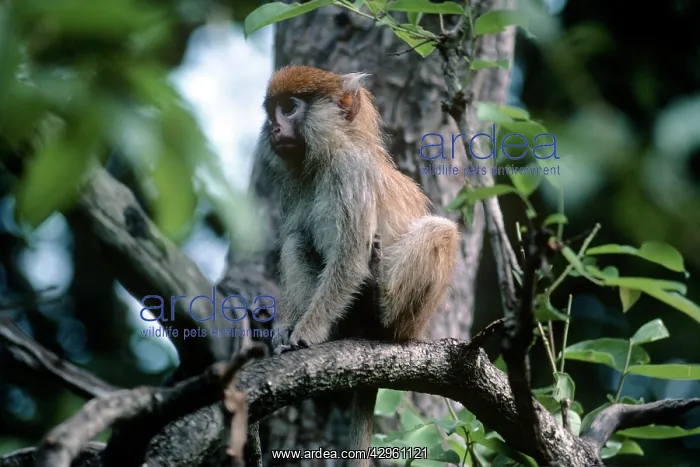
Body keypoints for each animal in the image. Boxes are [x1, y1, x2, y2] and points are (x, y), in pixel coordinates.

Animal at [256, 65, 460, 463]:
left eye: (289, 107)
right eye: (271, 111)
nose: (274, 128)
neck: (329, 153)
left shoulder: (351, 173)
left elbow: (350, 259)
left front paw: (306, 335)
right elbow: (296, 239)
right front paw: (285, 329)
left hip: (411, 321)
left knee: (441, 231)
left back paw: (381, 313)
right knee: (297, 242)